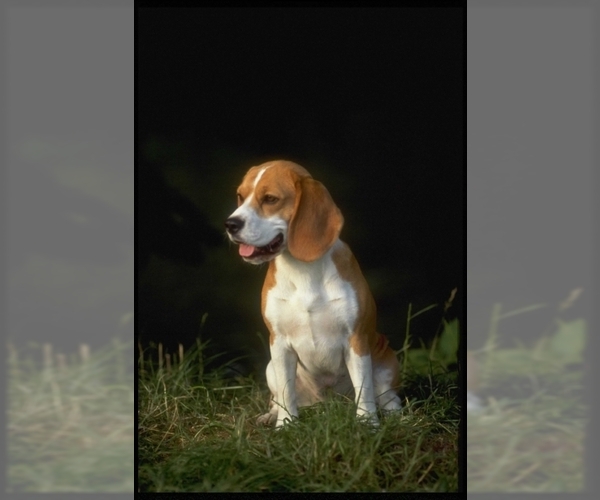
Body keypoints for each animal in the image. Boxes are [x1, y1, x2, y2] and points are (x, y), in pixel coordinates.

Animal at [227, 160, 400, 426]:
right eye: (240, 196)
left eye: (270, 199)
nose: (231, 224)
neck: (302, 270)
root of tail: (326, 403)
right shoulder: (279, 342)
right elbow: (286, 392)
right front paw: (286, 425)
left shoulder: (356, 339)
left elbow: (364, 389)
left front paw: (367, 424)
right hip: (270, 368)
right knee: (278, 397)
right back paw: (271, 416)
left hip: (386, 363)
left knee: (388, 397)